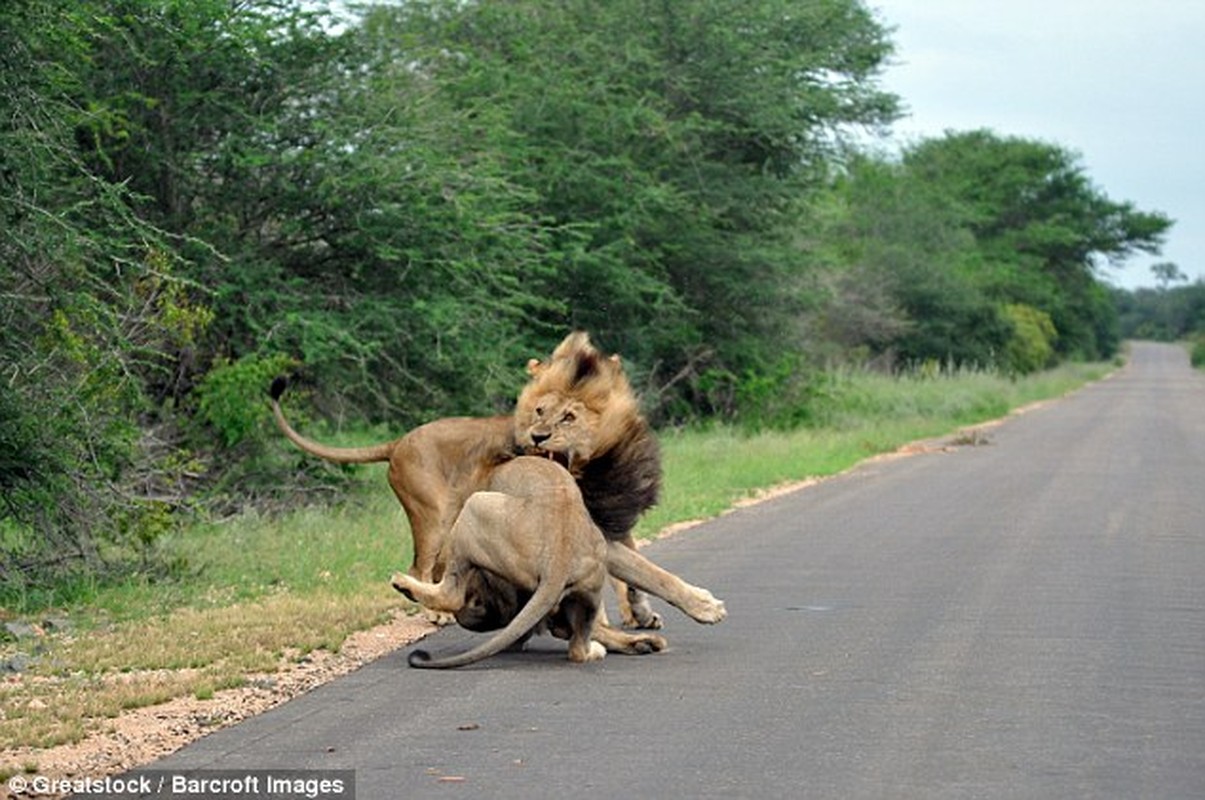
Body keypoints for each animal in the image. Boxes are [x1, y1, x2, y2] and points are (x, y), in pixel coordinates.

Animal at [271, 330, 723, 645]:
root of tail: (398, 441)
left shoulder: (615, 521)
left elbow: (640, 572)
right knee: (424, 566)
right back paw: (436, 612)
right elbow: (644, 571)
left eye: (569, 417)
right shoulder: (595, 533)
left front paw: (657, 611)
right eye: (539, 410)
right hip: (437, 515)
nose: (538, 437)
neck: (595, 467)